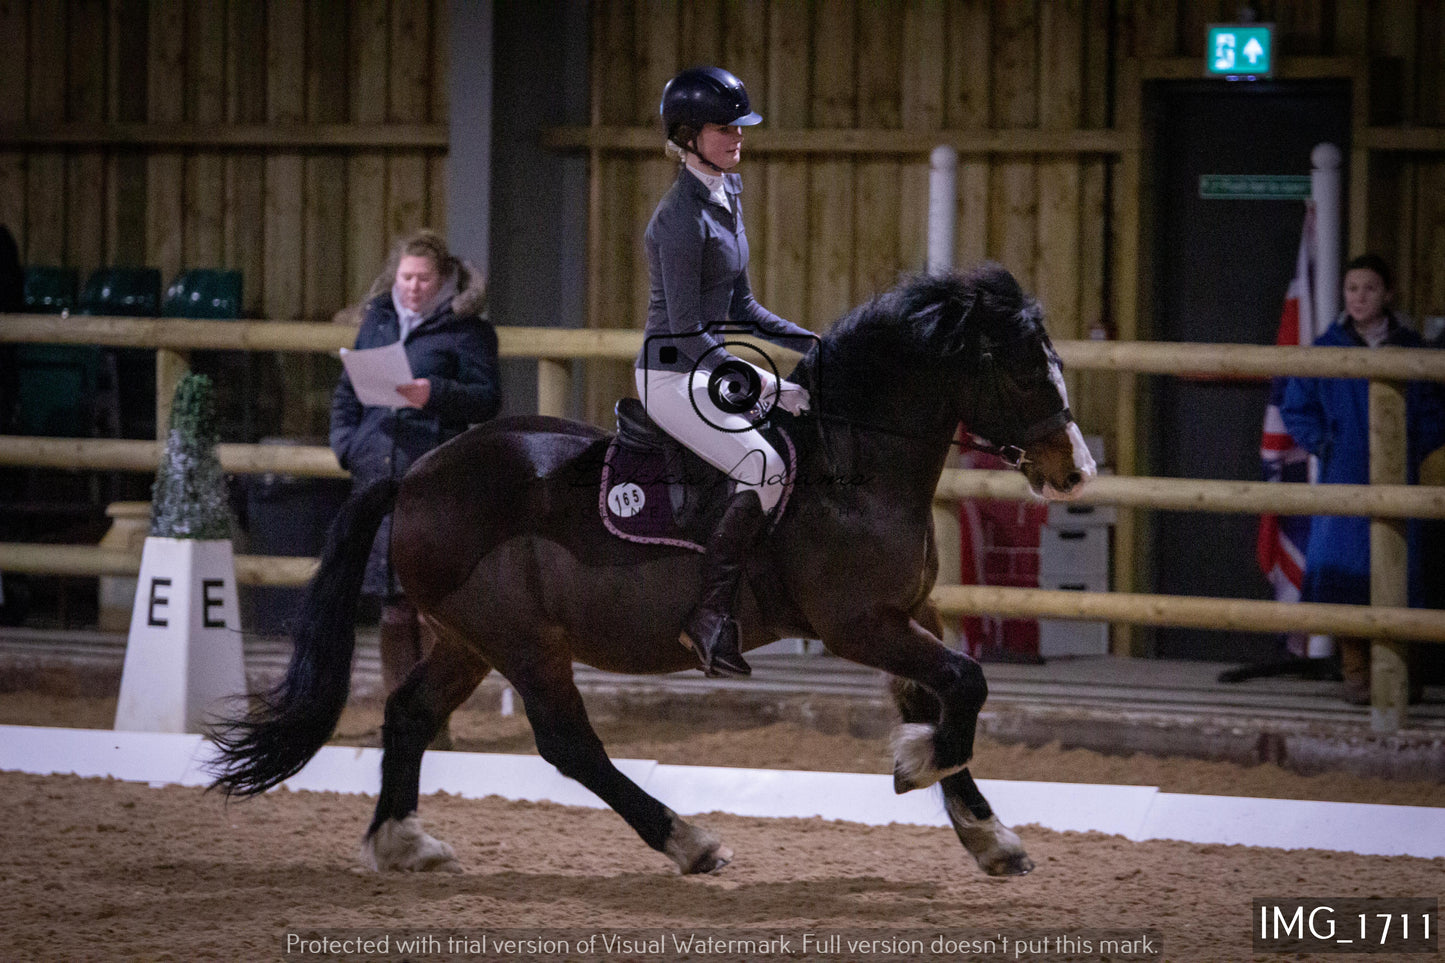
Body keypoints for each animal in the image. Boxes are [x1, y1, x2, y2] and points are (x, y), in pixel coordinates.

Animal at [209, 263, 1092, 879]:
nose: (1074, 469)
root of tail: (418, 472)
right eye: (1022, 370)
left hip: (469, 639)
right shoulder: (859, 623)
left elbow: (946, 694)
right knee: (568, 743)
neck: (856, 464)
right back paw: (689, 841)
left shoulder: (911, 613)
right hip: (522, 641)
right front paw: (917, 762)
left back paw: (402, 843)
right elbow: (965, 684)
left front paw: (987, 834)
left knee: (408, 714)